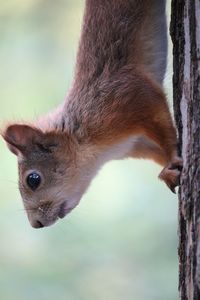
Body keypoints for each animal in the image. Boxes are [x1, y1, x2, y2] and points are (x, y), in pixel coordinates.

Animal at [1, 1, 183, 229]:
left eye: (33, 179)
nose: (36, 224)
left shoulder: (129, 96)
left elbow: (162, 124)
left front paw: (172, 159)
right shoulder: (136, 143)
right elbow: (158, 150)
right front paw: (167, 168)